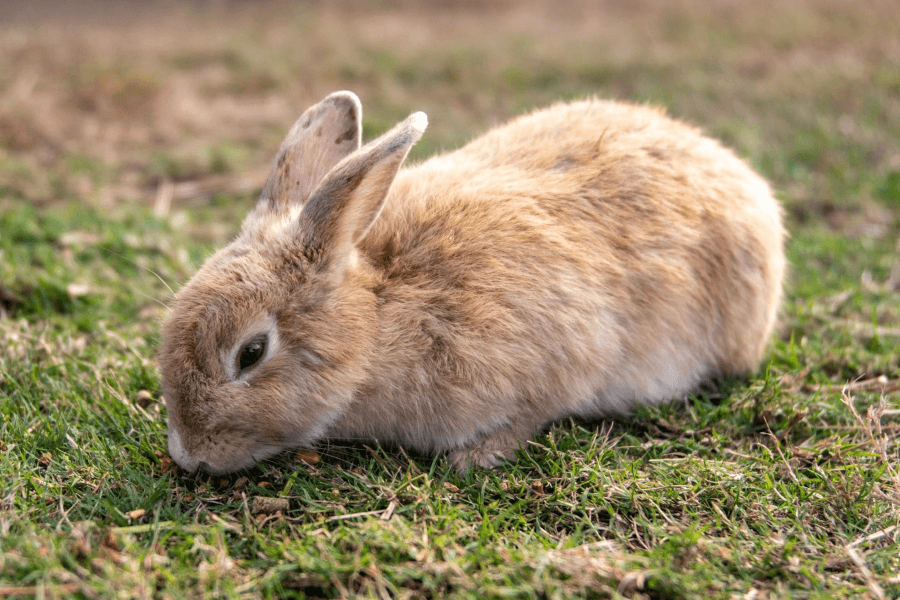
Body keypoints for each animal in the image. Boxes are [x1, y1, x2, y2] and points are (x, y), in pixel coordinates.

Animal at [158, 90, 784, 474]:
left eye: (252, 352)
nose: (188, 455)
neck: (379, 318)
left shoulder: (556, 363)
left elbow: (534, 412)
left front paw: (473, 459)